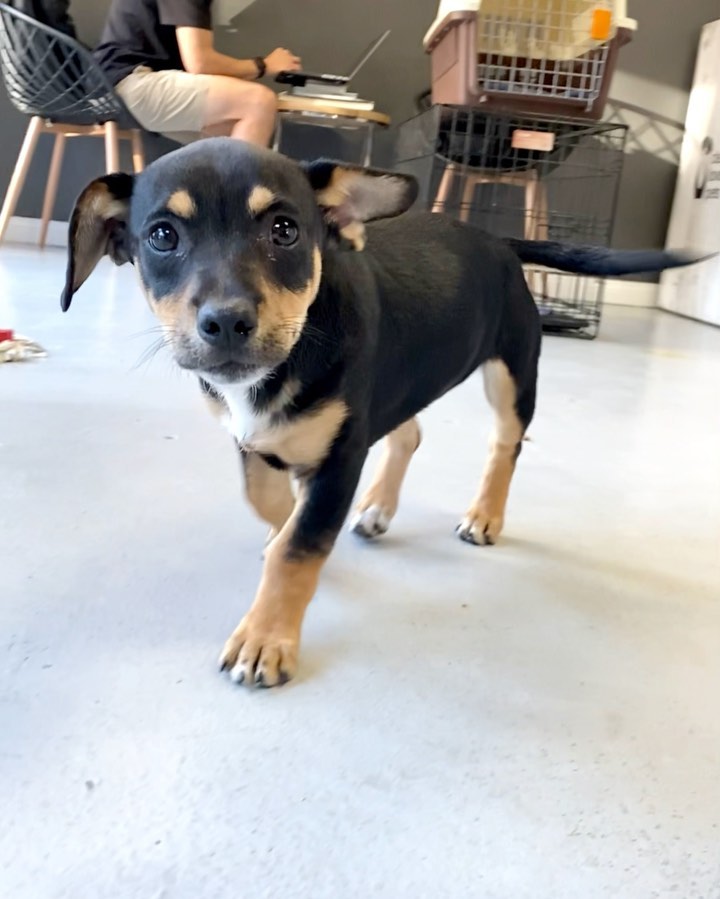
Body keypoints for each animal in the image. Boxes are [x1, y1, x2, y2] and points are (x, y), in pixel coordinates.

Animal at [62, 139, 696, 688]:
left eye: (285, 231)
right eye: (161, 236)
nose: (226, 322)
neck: (290, 358)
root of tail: (499, 241)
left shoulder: (343, 453)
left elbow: (299, 547)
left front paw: (267, 639)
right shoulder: (256, 438)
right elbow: (266, 498)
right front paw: (284, 521)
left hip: (512, 374)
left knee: (506, 444)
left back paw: (484, 516)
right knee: (409, 433)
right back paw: (377, 509)